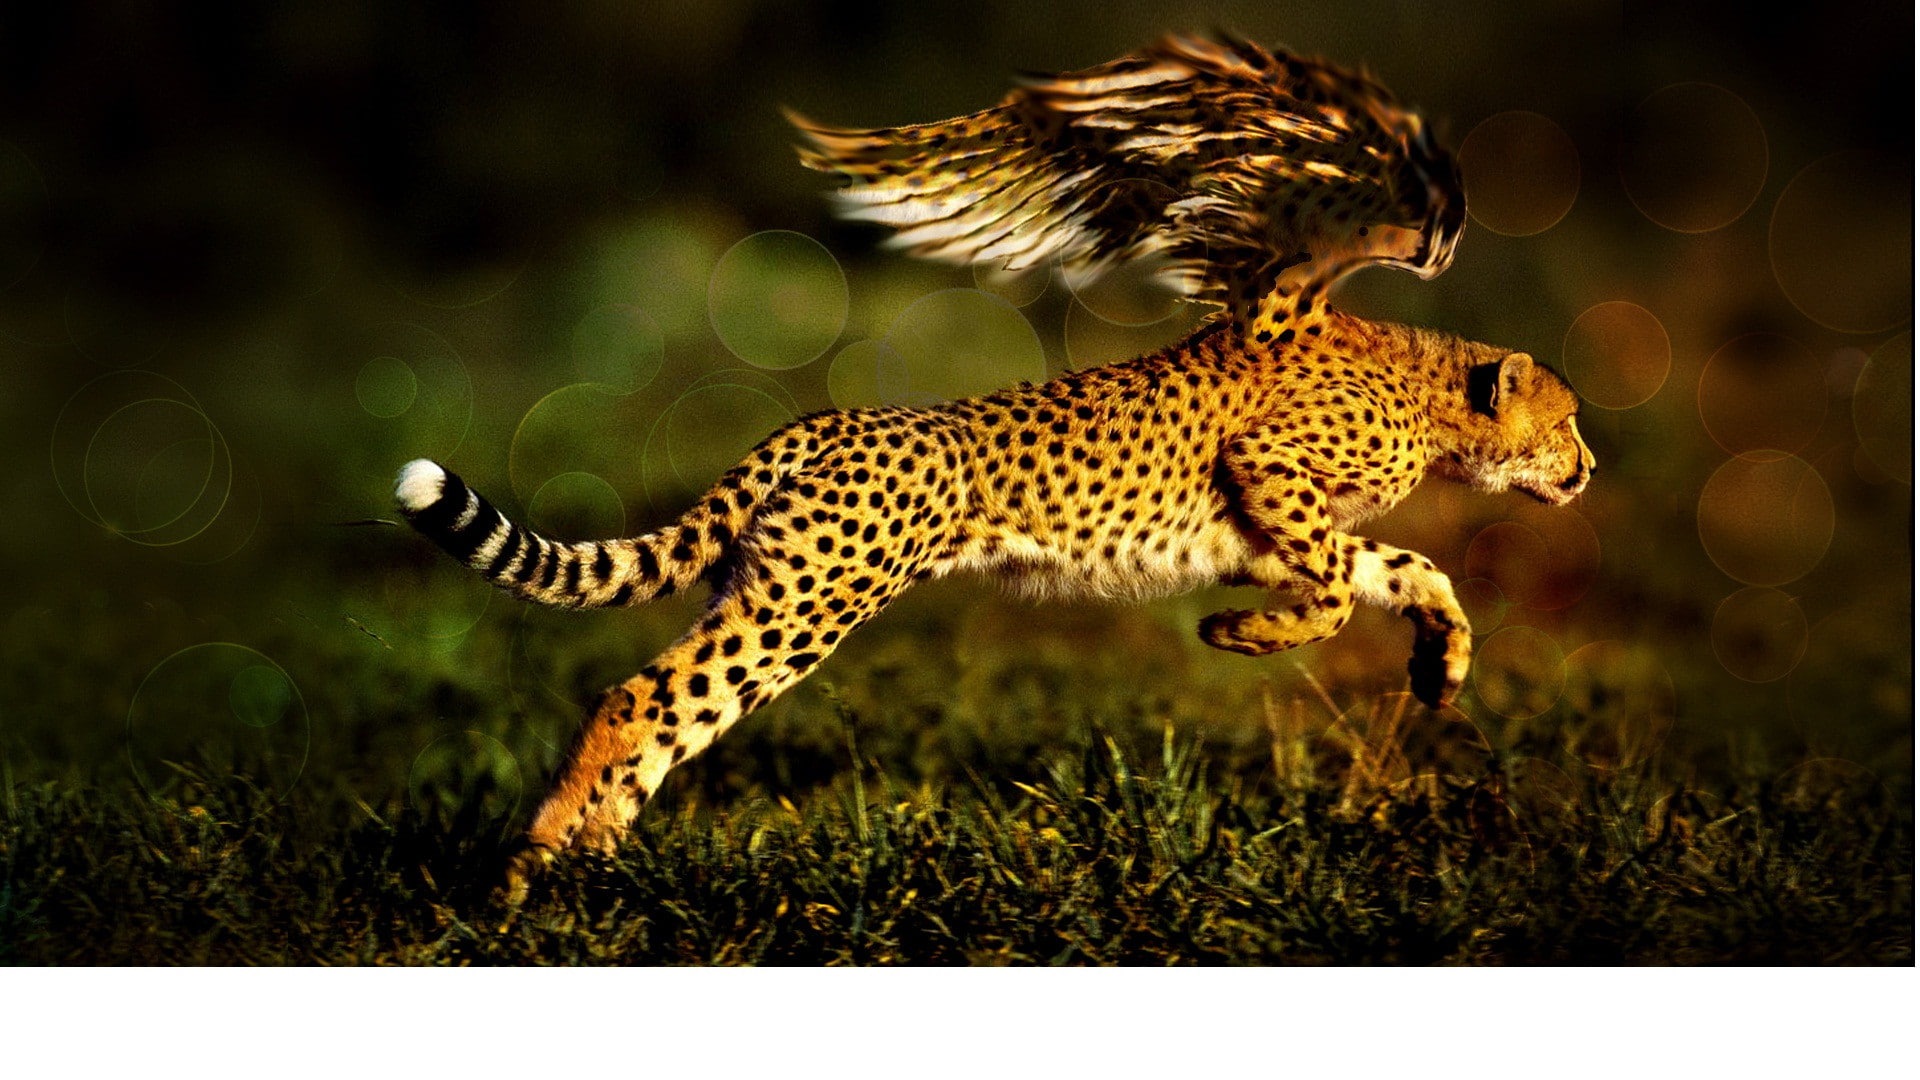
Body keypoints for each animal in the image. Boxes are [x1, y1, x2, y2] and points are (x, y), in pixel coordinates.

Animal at [390, 32, 1596, 893]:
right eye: (1571, 421)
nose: (1588, 471)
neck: (1426, 391)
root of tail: (828, 419)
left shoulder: (1262, 530)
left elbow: (1402, 571)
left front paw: (1440, 667)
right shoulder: (1268, 472)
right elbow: (1342, 586)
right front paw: (1238, 637)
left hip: (768, 586)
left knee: (664, 708)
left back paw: (589, 865)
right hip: (809, 601)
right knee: (640, 696)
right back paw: (532, 875)